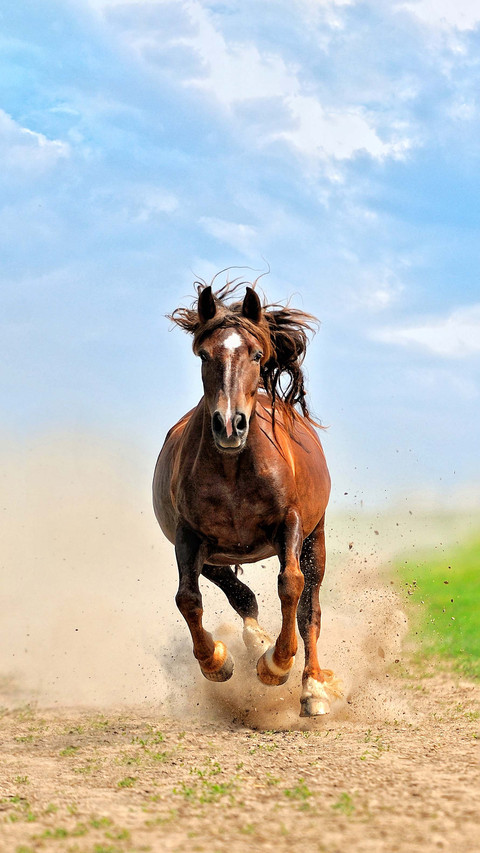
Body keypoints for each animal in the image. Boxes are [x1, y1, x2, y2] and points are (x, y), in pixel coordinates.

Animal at [153, 280, 342, 716]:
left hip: (316, 538)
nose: (229, 425)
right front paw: (216, 662)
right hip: (215, 556)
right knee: (241, 597)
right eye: (204, 354)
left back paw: (311, 688)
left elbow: (291, 585)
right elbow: (187, 599)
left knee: (310, 611)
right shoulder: (188, 537)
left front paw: (276, 666)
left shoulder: (289, 524)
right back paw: (256, 640)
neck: (232, 469)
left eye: (256, 354)